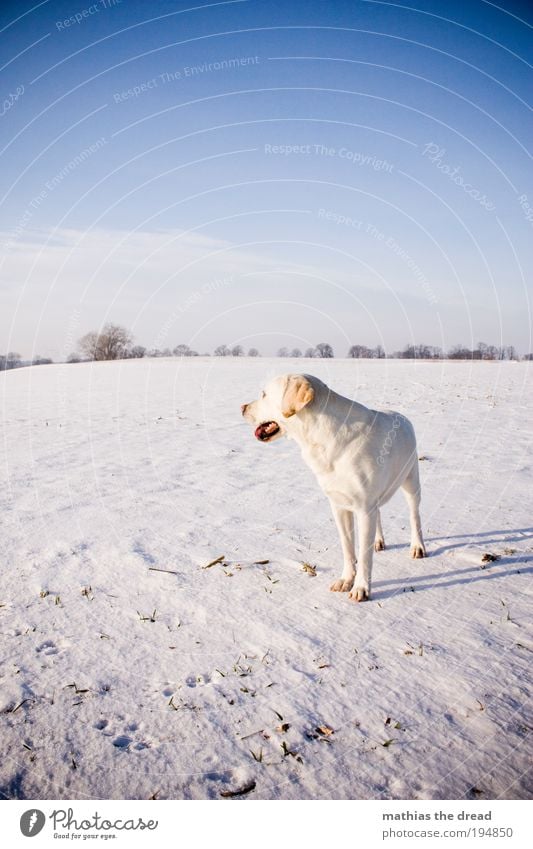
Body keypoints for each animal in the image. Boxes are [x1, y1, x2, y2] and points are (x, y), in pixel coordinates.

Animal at [241, 374, 424, 600]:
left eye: (264, 394)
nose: (242, 407)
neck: (321, 437)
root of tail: (402, 416)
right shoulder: (339, 505)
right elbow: (347, 548)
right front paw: (346, 580)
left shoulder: (364, 508)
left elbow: (364, 555)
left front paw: (361, 588)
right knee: (380, 514)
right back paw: (379, 541)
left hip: (411, 481)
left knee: (414, 516)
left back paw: (417, 547)